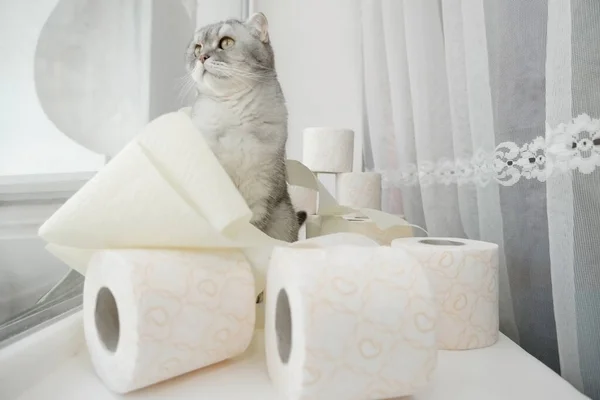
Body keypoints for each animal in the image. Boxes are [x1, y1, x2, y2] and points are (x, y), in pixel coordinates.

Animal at [184, 13, 308, 241]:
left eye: (226, 42)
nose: (202, 57)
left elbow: (251, 230)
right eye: (197, 48)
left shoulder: (260, 187)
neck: (233, 114)